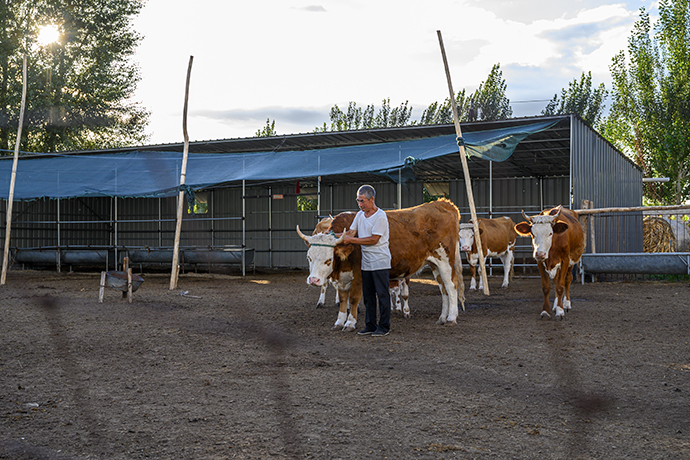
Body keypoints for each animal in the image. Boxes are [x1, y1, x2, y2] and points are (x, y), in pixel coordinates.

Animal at [296, 199, 462, 328]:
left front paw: (350, 323)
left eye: (328, 260)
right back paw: (442, 317)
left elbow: (354, 298)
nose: (313, 280)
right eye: (309, 258)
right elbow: (343, 299)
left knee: (451, 285)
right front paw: (339, 322)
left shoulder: (359, 275)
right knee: (443, 288)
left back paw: (451, 318)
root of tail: (443, 203)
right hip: (435, 264)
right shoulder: (343, 277)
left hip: (445, 260)